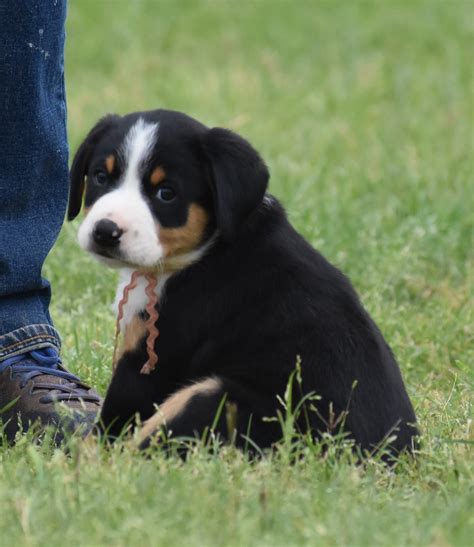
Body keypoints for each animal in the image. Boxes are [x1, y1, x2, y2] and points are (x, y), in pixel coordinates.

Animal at [67, 109, 418, 456]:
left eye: (166, 193)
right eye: (101, 177)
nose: (105, 231)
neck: (205, 249)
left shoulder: (151, 358)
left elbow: (108, 428)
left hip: (214, 396)